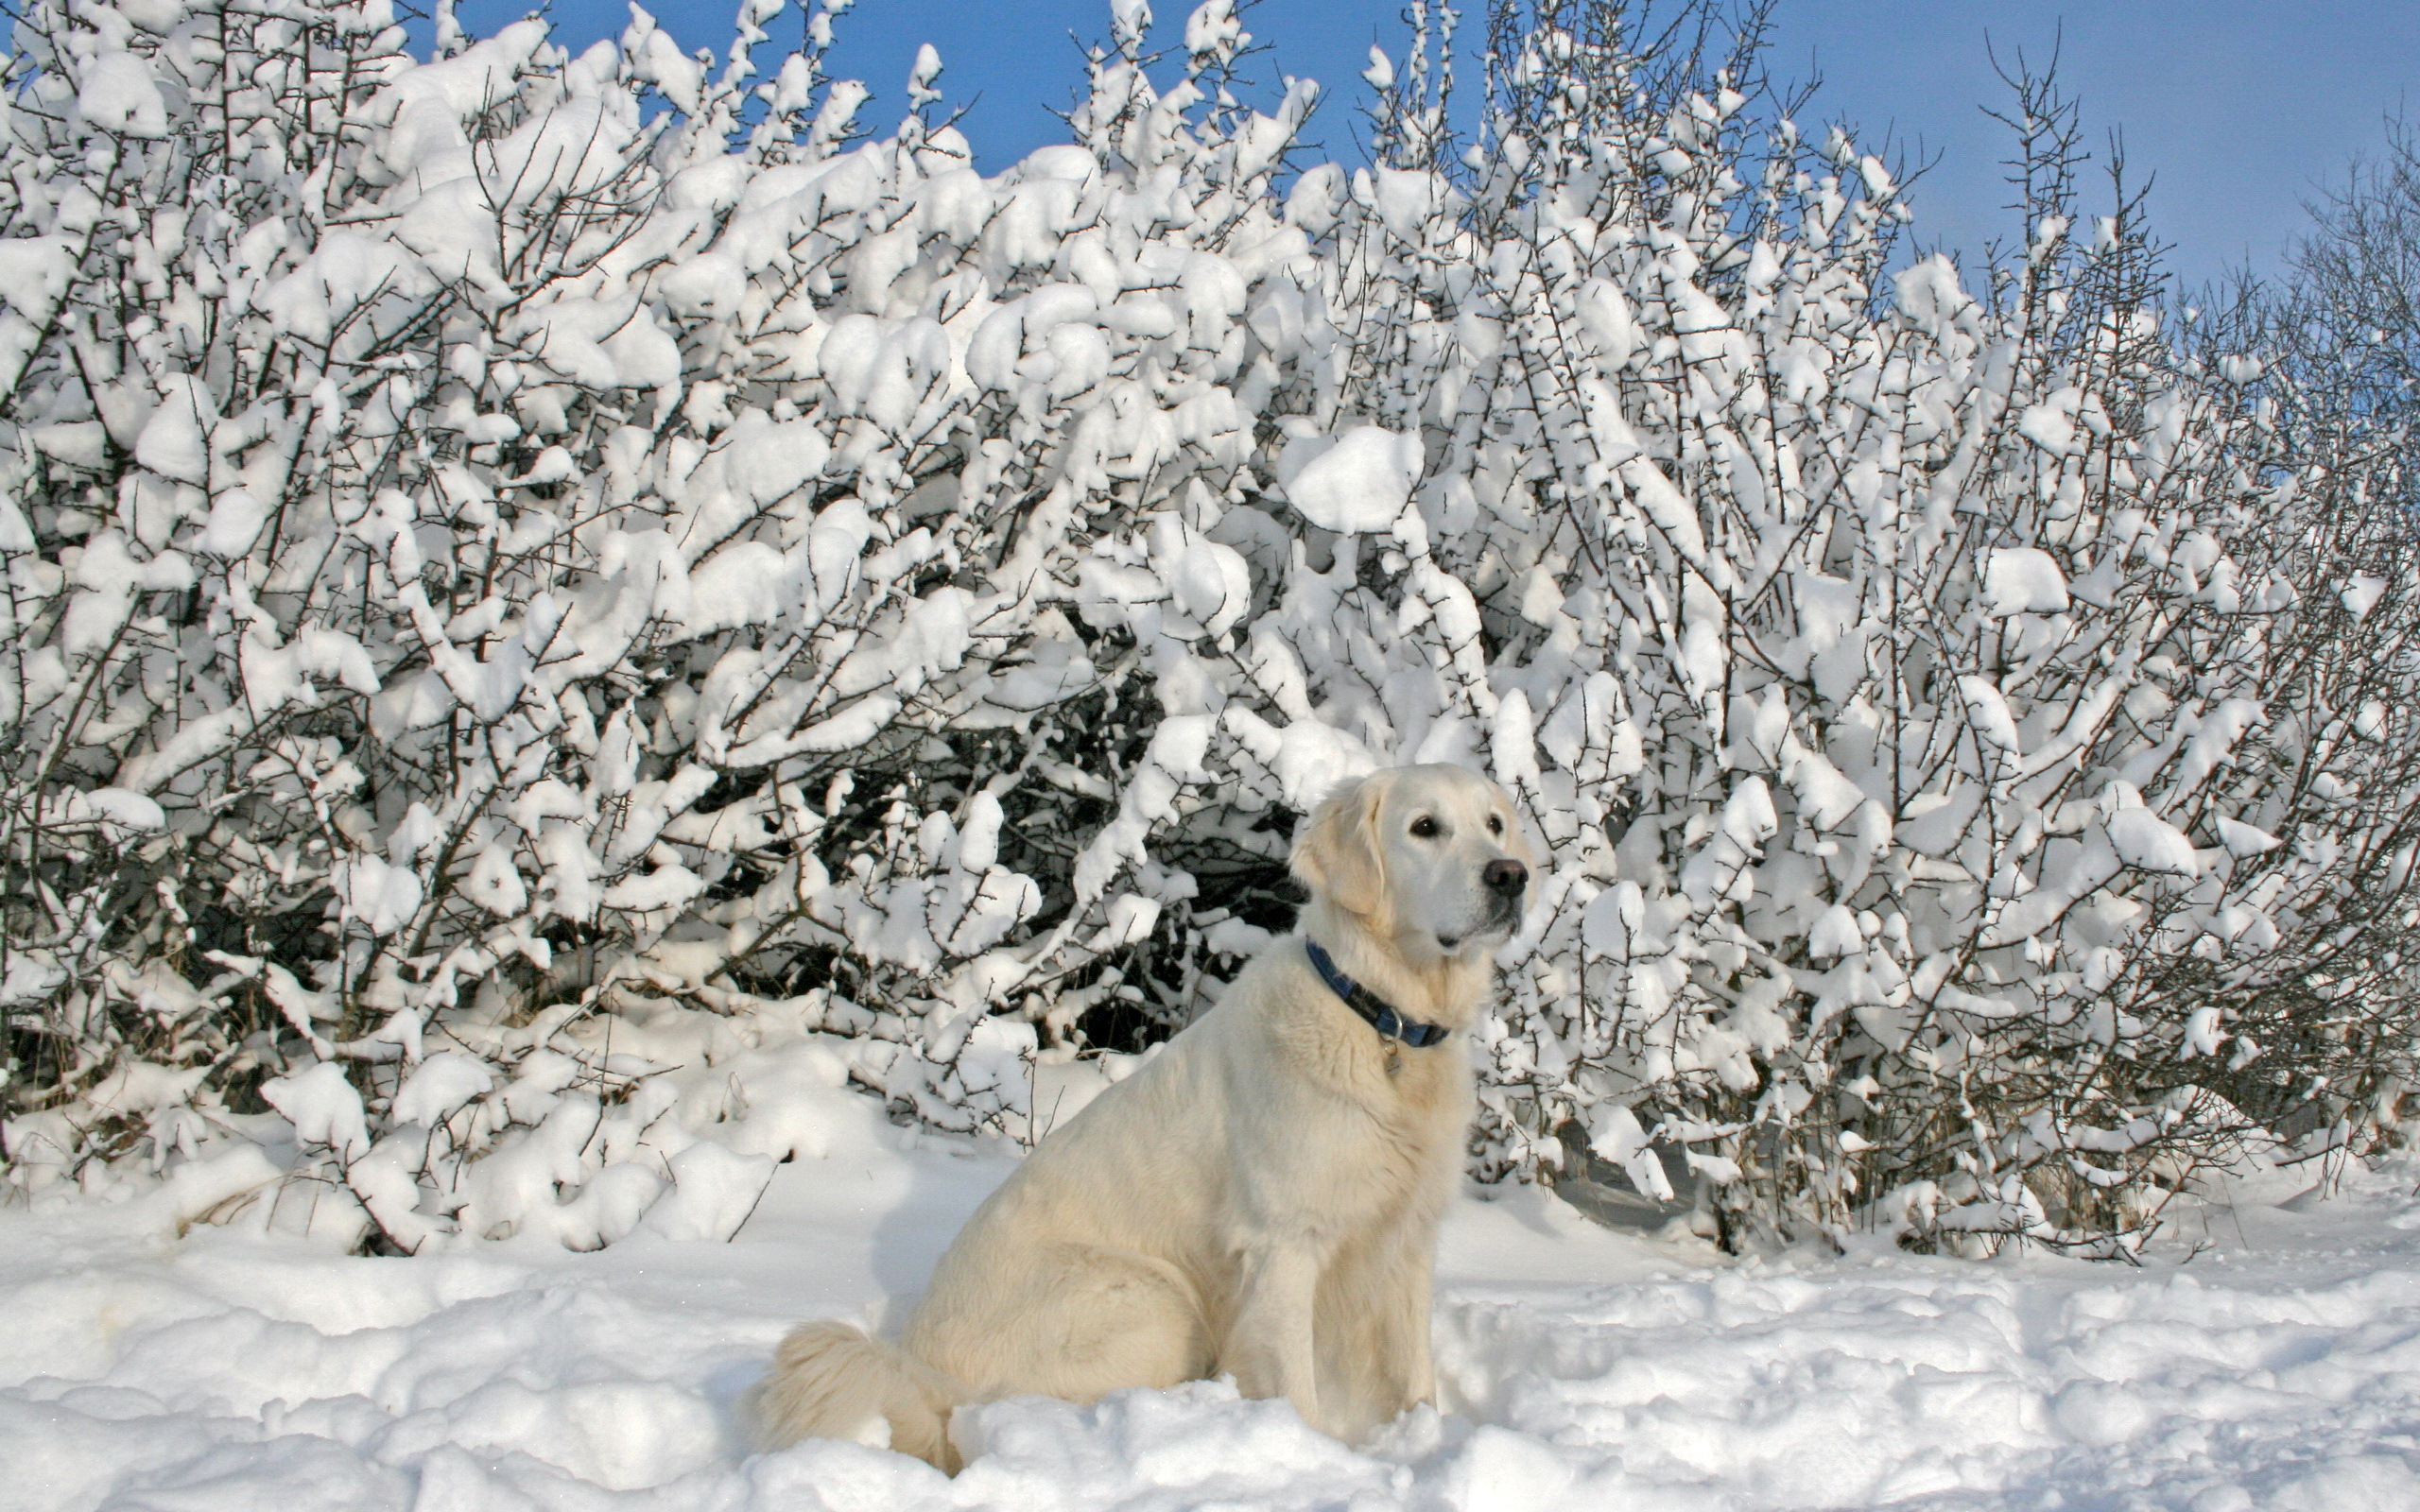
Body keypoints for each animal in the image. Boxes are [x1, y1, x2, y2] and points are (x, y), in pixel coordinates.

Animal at [750, 759, 1529, 1470]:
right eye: (1424, 828)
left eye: (1493, 824)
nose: (1512, 876)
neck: (1383, 1020)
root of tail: (925, 1375)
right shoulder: (1283, 1243)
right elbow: (1295, 1386)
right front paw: (1318, 1459)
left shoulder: (1407, 1237)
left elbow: (1416, 1377)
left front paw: (1424, 1438)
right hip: (1153, 1297)